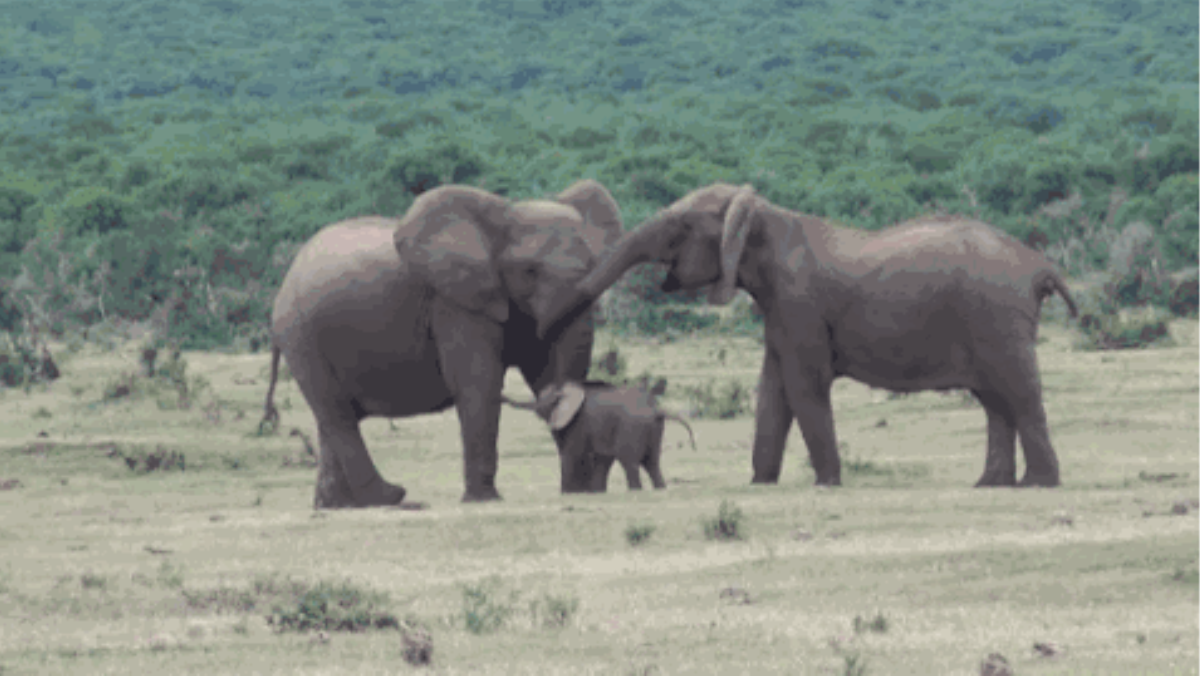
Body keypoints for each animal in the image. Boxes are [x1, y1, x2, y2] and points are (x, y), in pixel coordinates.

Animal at [266, 180, 624, 509]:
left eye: (594, 265)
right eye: (529, 271)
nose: (580, 488)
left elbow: (545, 375)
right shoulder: (453, 302)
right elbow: (478, 381)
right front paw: (484, 500)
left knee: (332, 419)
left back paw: (335, 506)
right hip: (300, 335)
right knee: (338, 415)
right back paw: (390, 497)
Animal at [501, 379, 700, 494]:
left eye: (546, 402)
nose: (502, 395)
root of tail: (657, 409)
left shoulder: (578, 423)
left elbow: (571, 455)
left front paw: (566, 494)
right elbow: (602, 460)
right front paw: (597, 493)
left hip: (631, 426)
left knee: (629, 461)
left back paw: (635, 491)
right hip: (654, 429)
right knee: (652, 463)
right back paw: (660, 489)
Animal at [540, 182, 1084, 489]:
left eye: (681, 227)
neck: (763, 215)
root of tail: (1041, 268)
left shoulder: (797, 301)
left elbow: (804, 386)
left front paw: (827, 483)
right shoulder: (779, 309)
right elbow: (773, 391)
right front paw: (760, 483)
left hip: (995, 318)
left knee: (1017, 392)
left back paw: (1039, 486)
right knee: (995, 399)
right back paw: (990, 486)